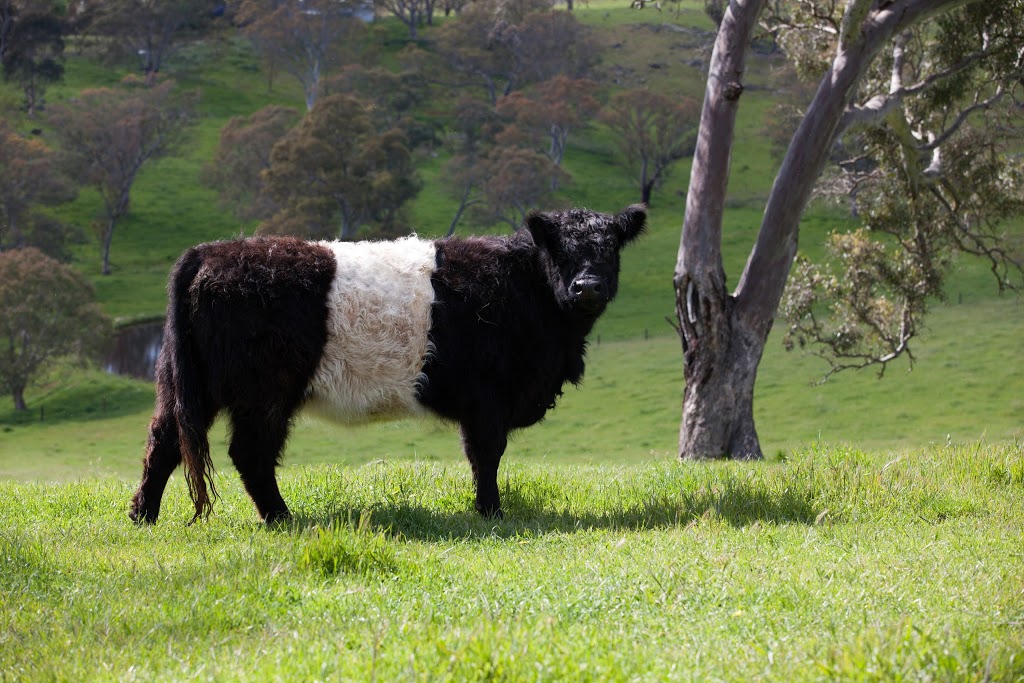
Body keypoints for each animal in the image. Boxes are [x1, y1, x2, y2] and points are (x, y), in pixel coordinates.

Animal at [128, 202, 643, 524]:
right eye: (562, 251)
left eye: (610, 249)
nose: (587, 287)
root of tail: (211, 251)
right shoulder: (488, 398)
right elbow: (486, 455)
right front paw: (491, 513)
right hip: (263, 392)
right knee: (249, 453)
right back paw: (281, 518)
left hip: (189, 383)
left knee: (165, 440)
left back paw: (142, 515)